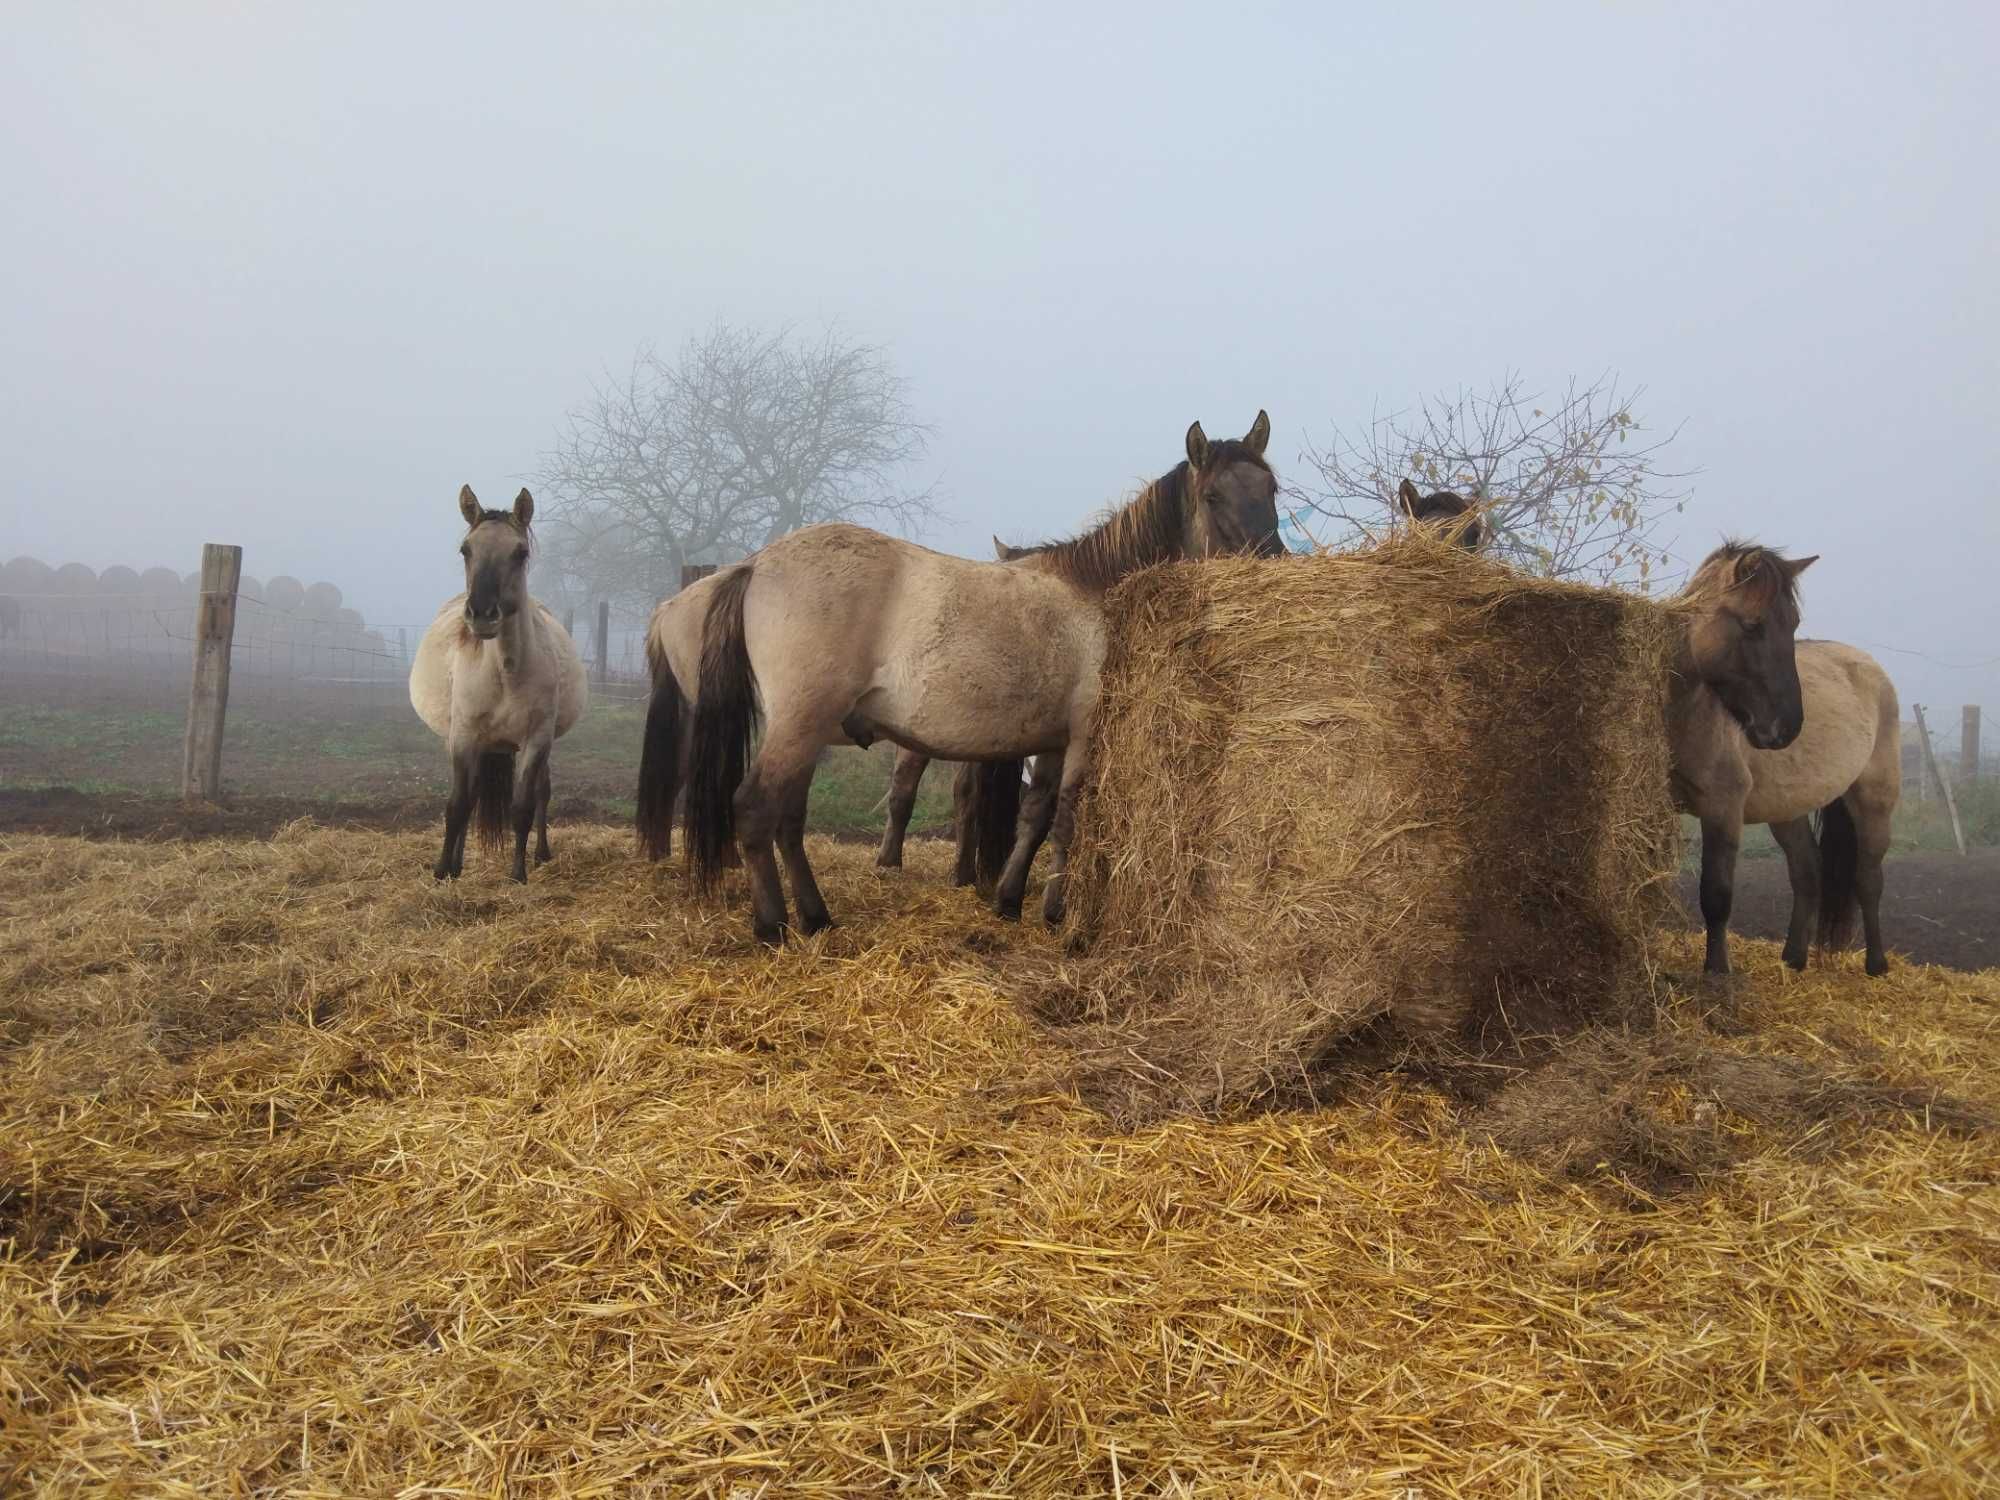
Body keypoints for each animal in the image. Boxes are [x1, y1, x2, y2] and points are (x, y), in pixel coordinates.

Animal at [410, 488, 584, 888]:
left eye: (520, 552)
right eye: (466, 550)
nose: (481, 615)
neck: (506, 673)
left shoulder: (536, 741)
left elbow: (521, 808)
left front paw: (518, 874)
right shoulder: (463, 738)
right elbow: (458, 804)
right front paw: (442, 871)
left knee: (542, 791)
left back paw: (541, 854)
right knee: (472, 795)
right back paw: (457, 864)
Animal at [644, 412, 1296, 944]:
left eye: (1271, 489)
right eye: (1212, 495)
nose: (1271, 570)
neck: (1094, 593)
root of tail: (755, 566)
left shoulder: (1053, 741)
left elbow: (1035, 817)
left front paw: (1008, 900)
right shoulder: (1085, 735)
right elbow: (1067, 820)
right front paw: (1057, 915)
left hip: (803, 731)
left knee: (787, 819)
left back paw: (816, 916)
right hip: (800, 724)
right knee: (756, 809)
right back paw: (774, 925)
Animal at [1672, 548, 1904, 980]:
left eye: (1793, 624)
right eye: (1753, 625)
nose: (1787, 726)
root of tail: (1869, 666)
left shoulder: (1722, 809)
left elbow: (1716, 895)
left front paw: (1717, 973)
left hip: (1873, 800)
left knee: (1868, 878)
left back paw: (1877, 965)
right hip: (1787, 810)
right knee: (1807, 870)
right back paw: (1793, 958)